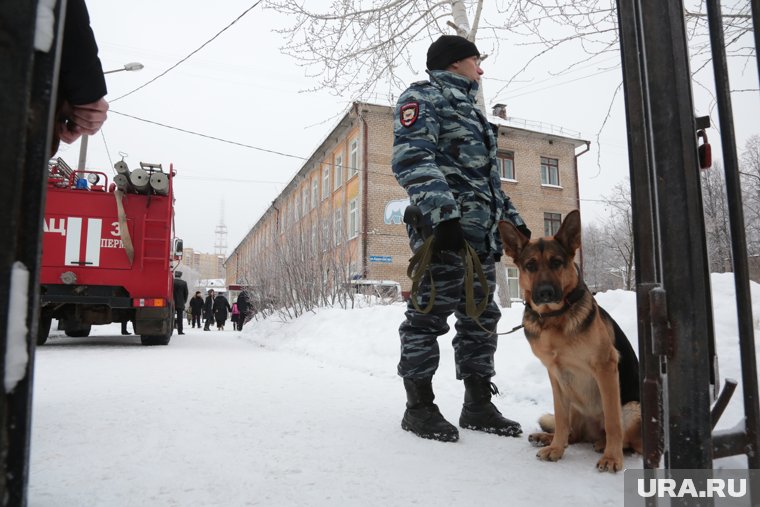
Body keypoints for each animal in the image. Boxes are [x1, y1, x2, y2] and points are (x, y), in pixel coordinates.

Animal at [498, 210, 640, 472]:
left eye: (556, 262)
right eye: (530, 266)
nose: (544, 292)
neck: (554, 319)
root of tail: (592, 433)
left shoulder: (605, 368)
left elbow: (613, 421)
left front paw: (612, 458)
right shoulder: (555, 375)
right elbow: (561, 418)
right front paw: (556, 448)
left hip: (633, 408)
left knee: (629, 440)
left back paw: (604, 446)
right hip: (572, 398)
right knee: (572, 433)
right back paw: (549, 438)